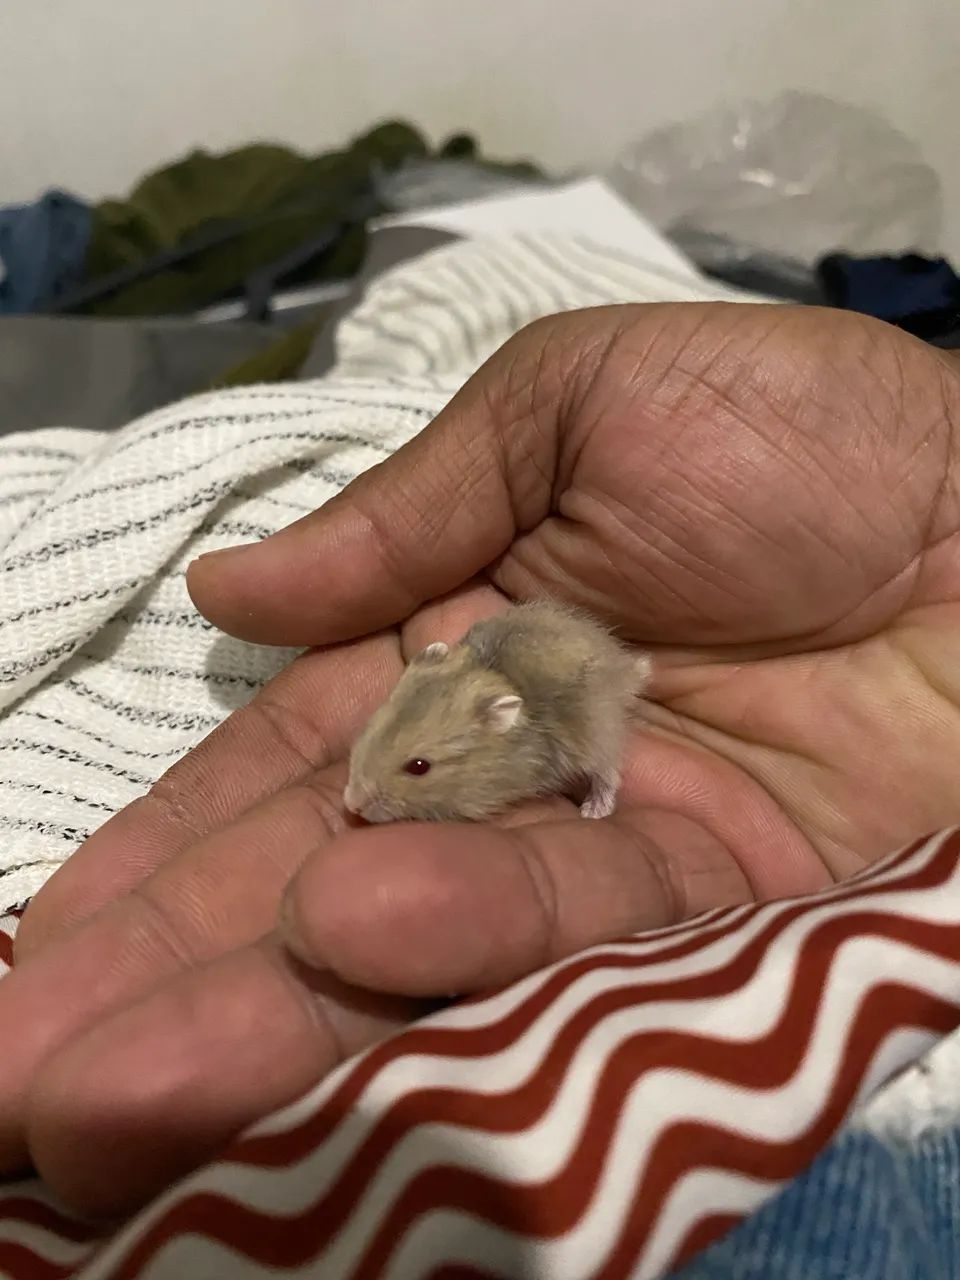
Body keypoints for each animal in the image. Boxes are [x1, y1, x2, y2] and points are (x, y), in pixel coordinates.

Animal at [344, 601, 651, 824]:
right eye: (370, 726)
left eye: (419, 767)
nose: (350, 805)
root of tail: (627, 671)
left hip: (599, 735)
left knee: (608, 774)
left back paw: (593, 811)